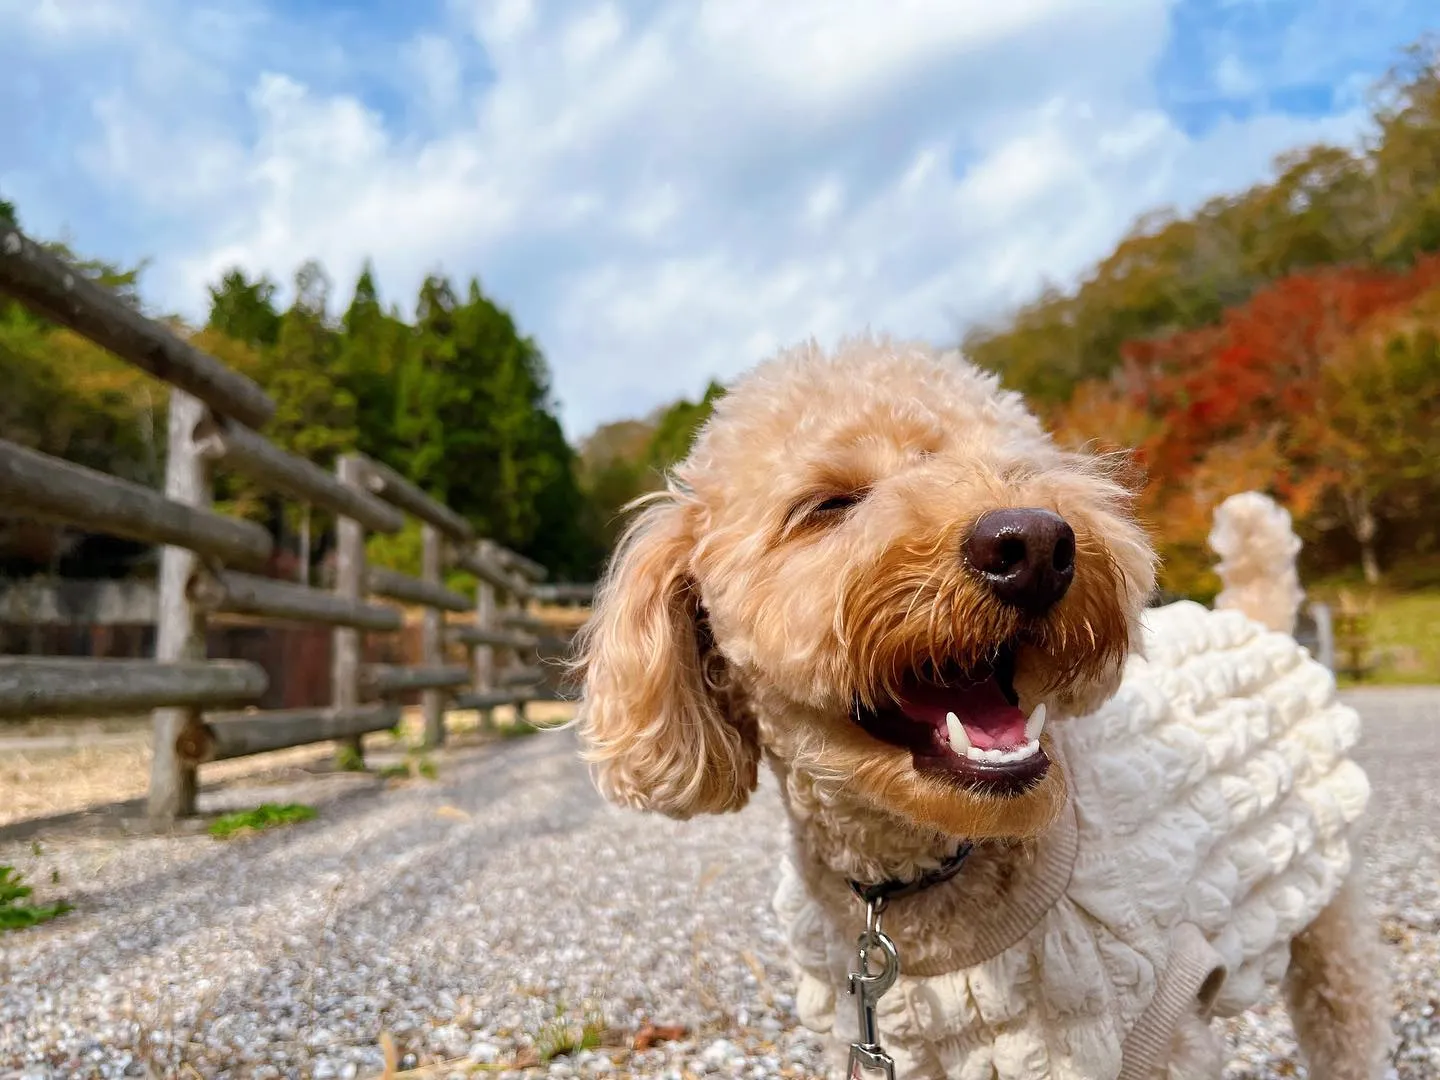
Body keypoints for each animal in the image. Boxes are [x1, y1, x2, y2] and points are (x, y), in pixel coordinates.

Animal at [567, 338, 1388, 1080]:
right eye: (826, 506)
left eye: (1017, 467)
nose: (1034, 544)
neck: (916, 888)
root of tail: (1254, 619)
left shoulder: (1163, 1034)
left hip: (1331, 933)